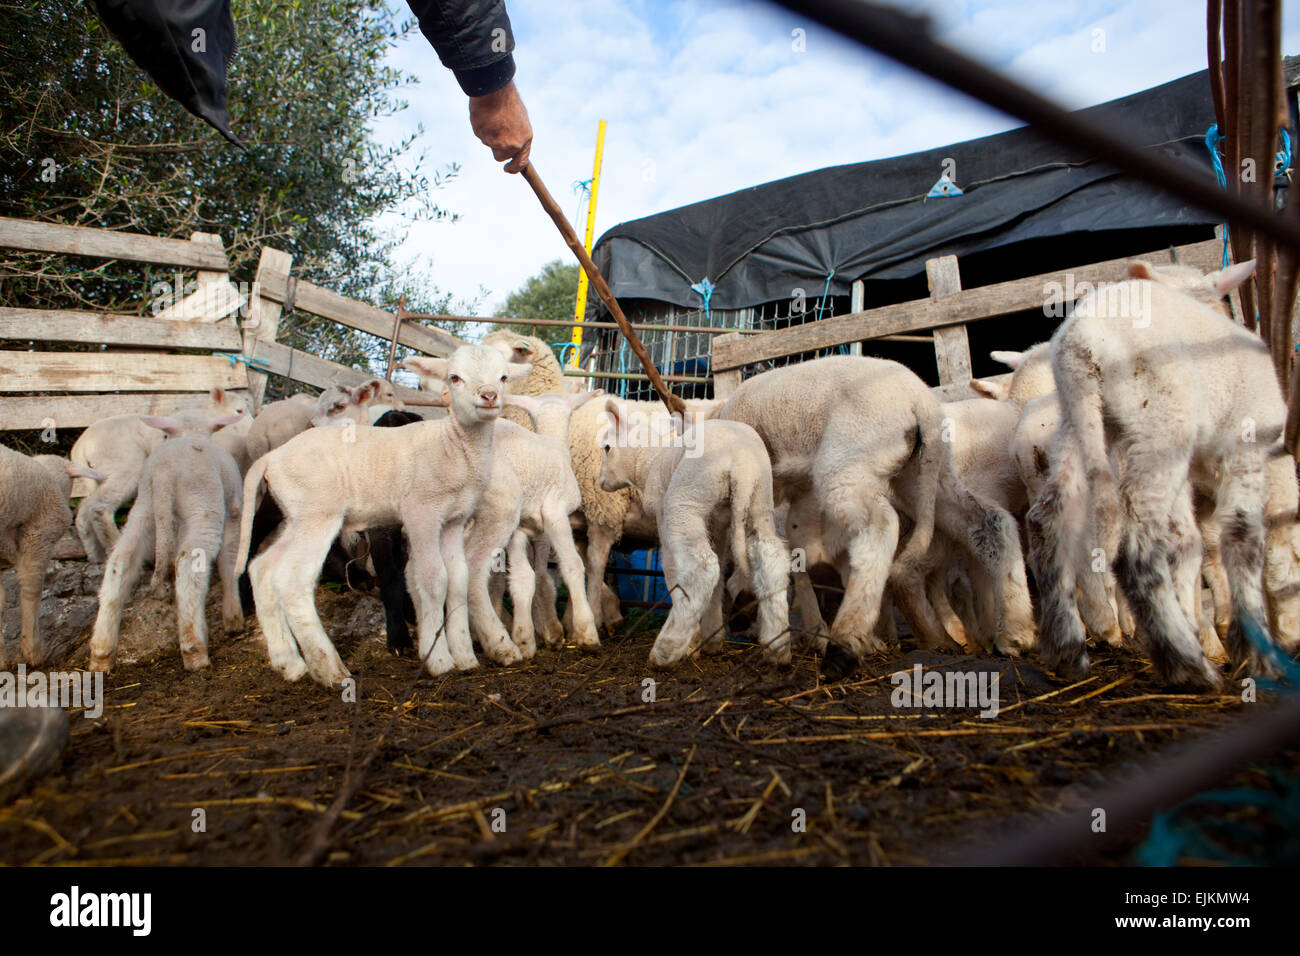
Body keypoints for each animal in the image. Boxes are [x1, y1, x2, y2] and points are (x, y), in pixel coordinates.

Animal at [236, 348, 530, 686]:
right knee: (292, 581)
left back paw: (289, 663)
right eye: (454, 377)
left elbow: (458, 579)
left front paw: (466, 657)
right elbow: (433, 580)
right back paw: (329, 668)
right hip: (317, 515)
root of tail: (271, 457)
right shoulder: (421, 513)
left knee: (262, 569)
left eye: (503, 377)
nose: (489, 396)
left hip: (296, 516)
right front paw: (439, 659)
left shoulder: (453, 520)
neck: (452, 445)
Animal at [598, 400, 790, 671]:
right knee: (770, 558)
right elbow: (719, 576)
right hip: (759, 500)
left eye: (606, 447)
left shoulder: (662, 513)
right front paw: (711, 639)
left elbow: (672, 570)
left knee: (702, 568)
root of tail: (741, 464)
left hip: (686, 501)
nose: (600, 481)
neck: (649, 461)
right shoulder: (717, 522)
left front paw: (693, 643)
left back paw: (666, 650)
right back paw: (777, 648)